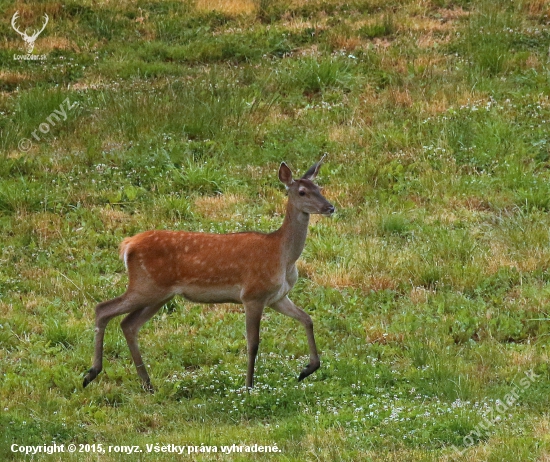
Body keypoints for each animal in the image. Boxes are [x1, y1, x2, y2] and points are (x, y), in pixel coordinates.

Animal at [83, 157, 336, 392]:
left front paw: (308, 369)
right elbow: (253, 343)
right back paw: (92, 373)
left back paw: (146, 383)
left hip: (159, 294)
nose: (330, 207)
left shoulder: (277, 297)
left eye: (319, 188)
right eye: (302, 192)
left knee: (128, 324)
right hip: (145, 285)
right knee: (103, 309)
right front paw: (249, 387)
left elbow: (307, 319)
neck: (282, 255)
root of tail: (127, 245)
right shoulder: (253, 294)